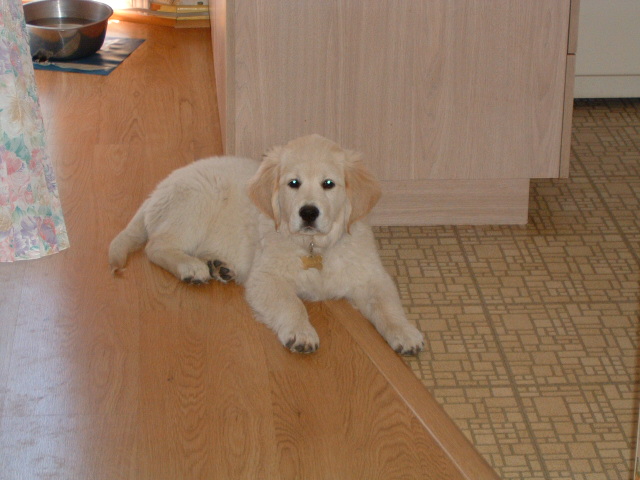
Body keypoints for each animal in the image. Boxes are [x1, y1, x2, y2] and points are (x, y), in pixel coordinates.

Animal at [110, 133, 424, 354]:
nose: (308, 212)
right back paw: (191, 268)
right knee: (156, 246)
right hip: (197, 201)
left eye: (329, 184)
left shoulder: (371, 275)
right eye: (293, 183)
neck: (313, 247)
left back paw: (218, 266)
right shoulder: (267, 278)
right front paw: (301, 333)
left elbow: (388, 305)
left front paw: (405, 332)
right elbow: (292, 304)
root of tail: (157, 190)